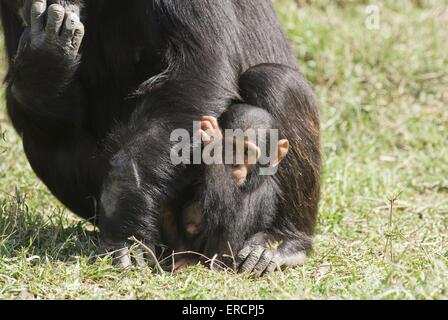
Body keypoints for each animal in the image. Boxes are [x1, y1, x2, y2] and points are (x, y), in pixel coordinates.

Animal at [161, 103, 290, 272]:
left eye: (247, 151)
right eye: (231, 147)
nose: (235, 163)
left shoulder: (260, 193)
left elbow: (231, 223)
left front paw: (213, 142)